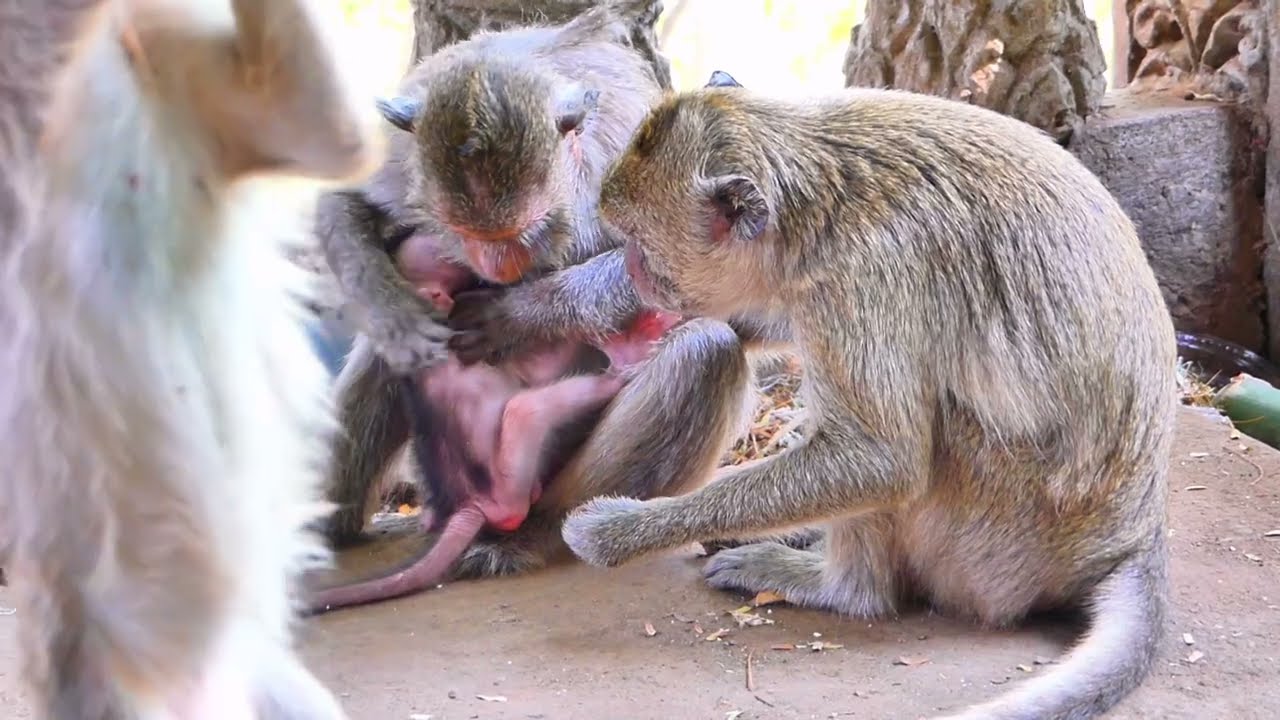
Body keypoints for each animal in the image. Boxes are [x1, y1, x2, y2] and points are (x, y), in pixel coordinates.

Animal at [559, 85, 1177, 720]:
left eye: (638, 241)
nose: (631, 270)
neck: (816, 202)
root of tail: (1132, 532)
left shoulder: (860, 279)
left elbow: (879, 461)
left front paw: (620, 532)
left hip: (998, 536)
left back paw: (840, 587)